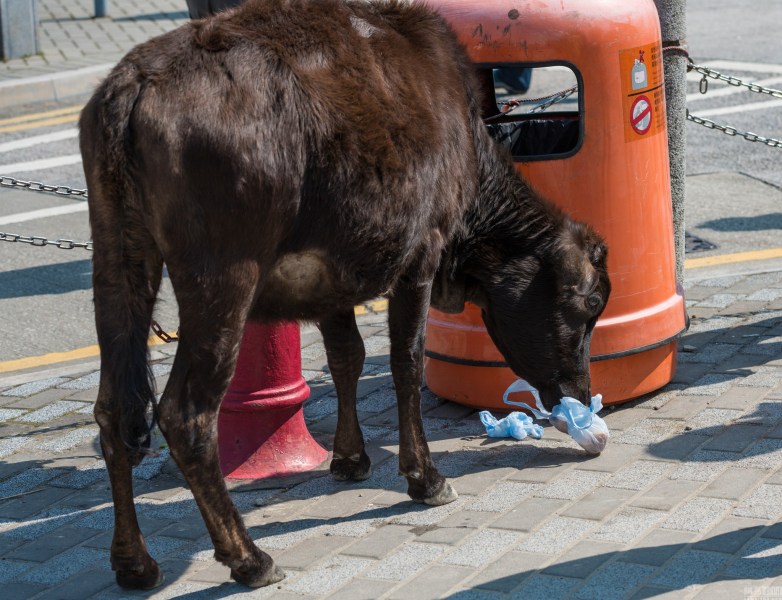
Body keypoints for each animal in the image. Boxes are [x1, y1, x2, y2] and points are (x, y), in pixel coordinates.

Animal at [81, 0, 612, 592]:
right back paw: (249, 557)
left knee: (114, 409)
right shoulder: (420, 254)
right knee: (185, 415)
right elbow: (405, 361)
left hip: (118, 260)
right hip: (222, 277)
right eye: (590, 305)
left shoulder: (332, 276)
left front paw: (350, 457)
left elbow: (347, 357)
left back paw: (133, 562)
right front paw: (425, 477)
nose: (583, 395)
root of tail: (136, 77)